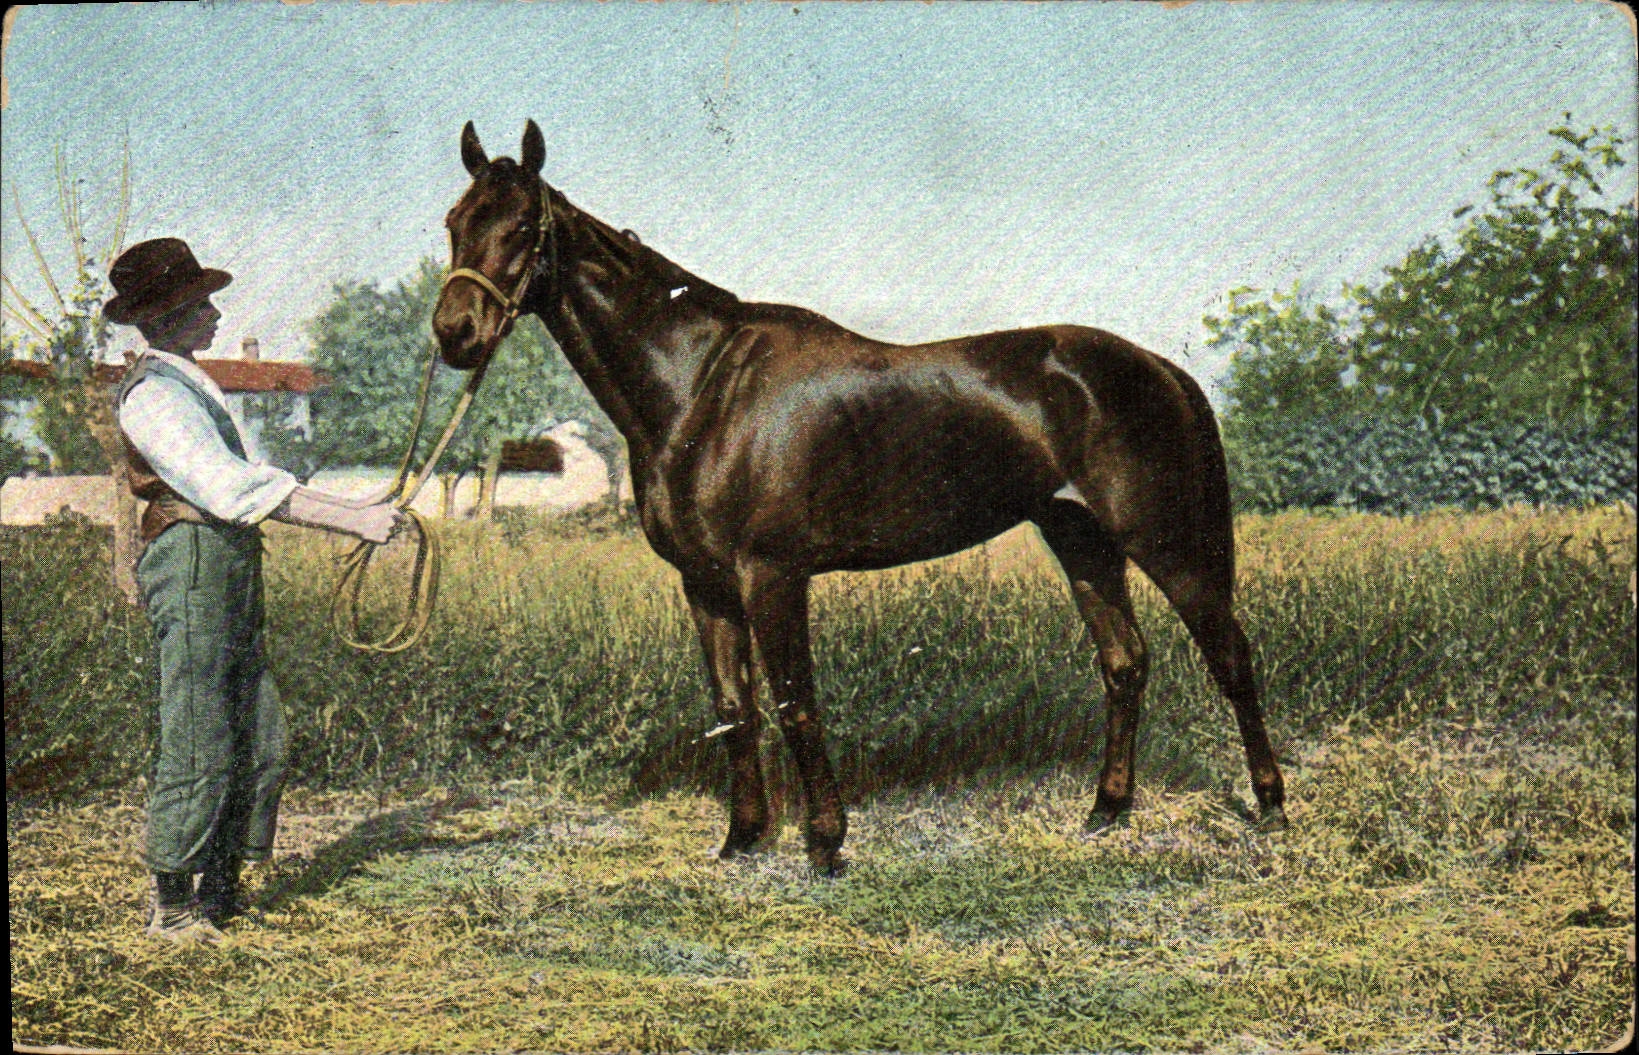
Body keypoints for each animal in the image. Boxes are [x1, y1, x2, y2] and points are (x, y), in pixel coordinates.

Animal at [432, 120, 1287, 874]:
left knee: (1230, 656)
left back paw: (1270, 805)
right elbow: (734, 707)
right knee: (1124, 663)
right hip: (1081, 540)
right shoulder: (704, 584)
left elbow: (793, 702)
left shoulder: (771, 575)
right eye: (453, 222)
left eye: (521, 225)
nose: (454, 333)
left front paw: (824, 842)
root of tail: (1157, 367)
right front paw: (742, 838)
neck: (702, 386)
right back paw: (1106, 809)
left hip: (1166, 543)